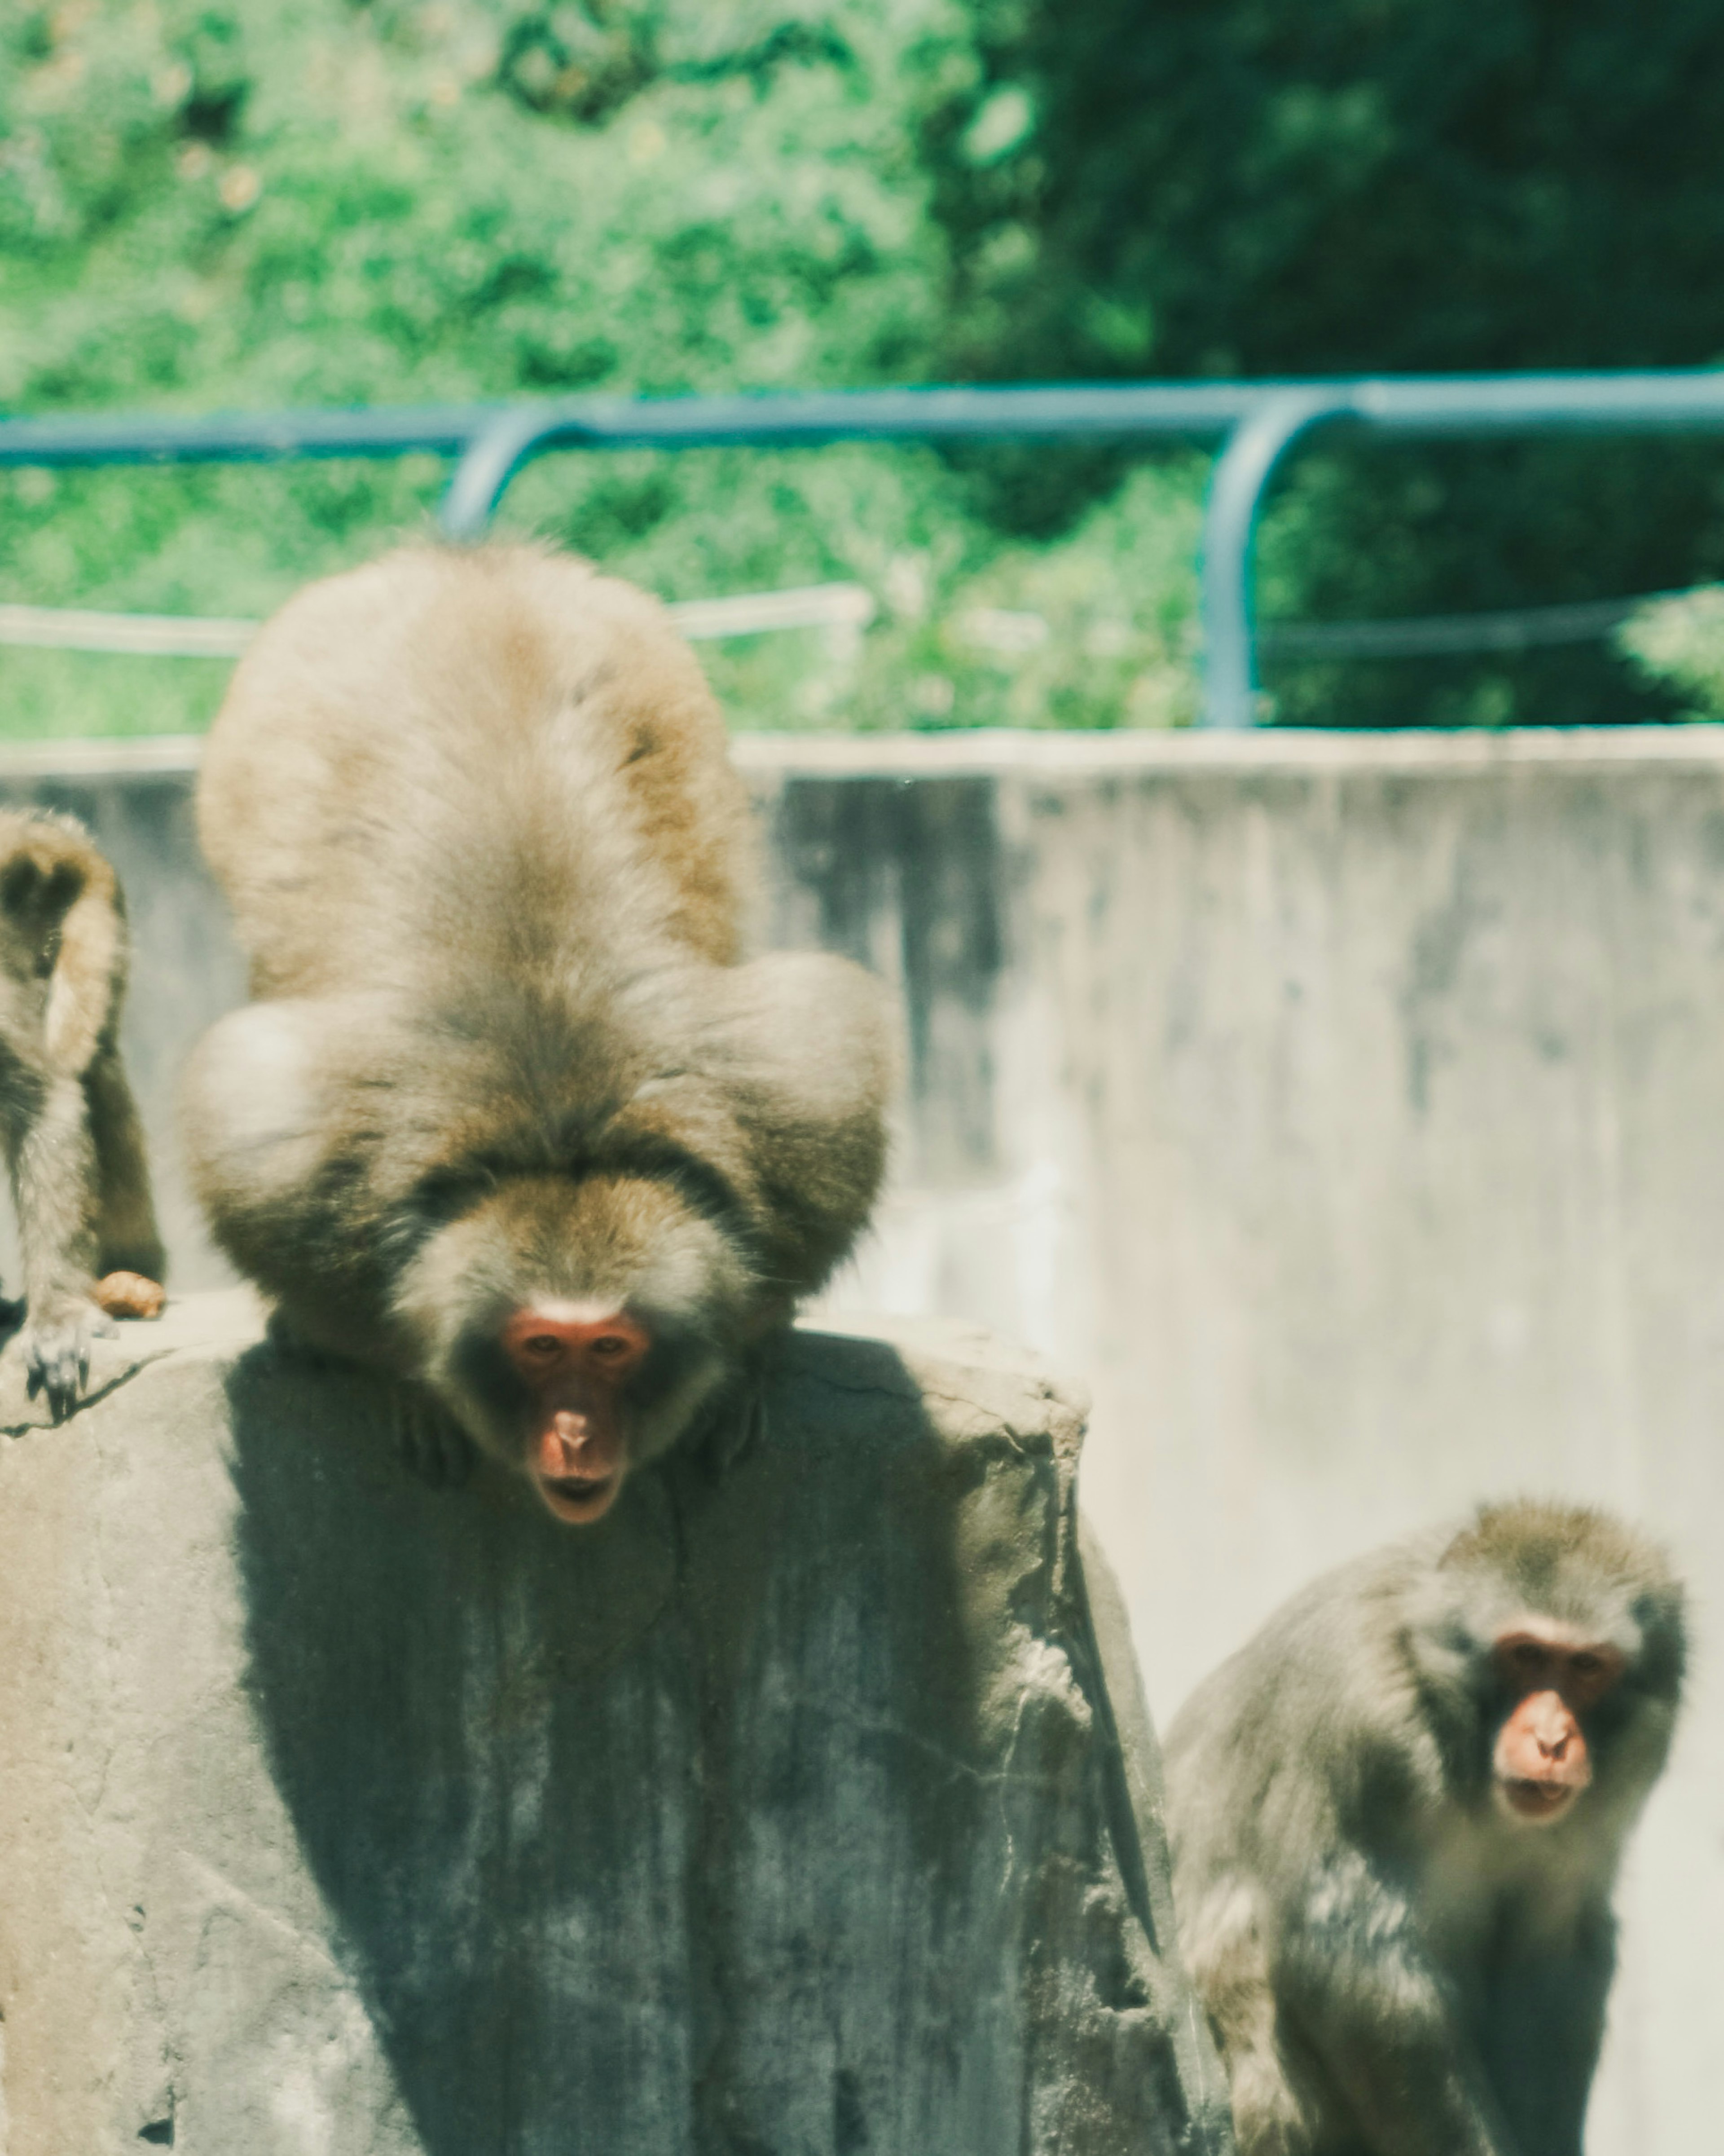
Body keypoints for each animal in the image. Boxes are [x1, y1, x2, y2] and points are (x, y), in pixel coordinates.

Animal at [182, 539, 896, 1526]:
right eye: (541, 1348)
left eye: (611, 1349)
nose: (576, 1436)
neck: (559, 1132)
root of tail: (467, 563)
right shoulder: (298, 1171)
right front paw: (405, 1379)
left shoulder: (801, 1117)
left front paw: (745, 1367)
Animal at [1164, 1500, 1689, 2156]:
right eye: (1527, 1655)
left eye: (1587, 1666)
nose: (1552, 1740)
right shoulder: (1364, 1718)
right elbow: (1352, 1955)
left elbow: (1549, 1953)